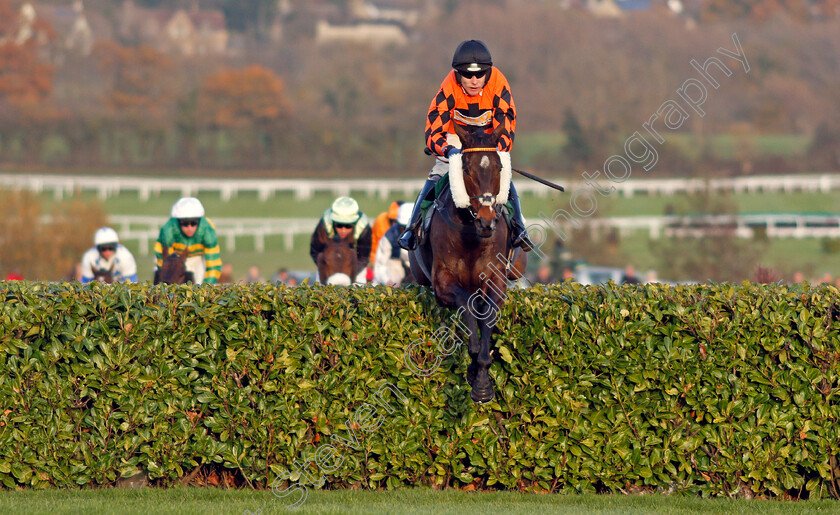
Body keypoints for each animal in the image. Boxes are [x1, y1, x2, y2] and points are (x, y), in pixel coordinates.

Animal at [408, 123, 524, 406]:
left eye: (499, 168)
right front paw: (474, 369)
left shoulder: (496, 279)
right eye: (466, 169)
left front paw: (482, 380)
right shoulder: (442, 283)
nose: (486, 221)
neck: (472, 235)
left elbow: (488, 314)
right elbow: (466, 307)